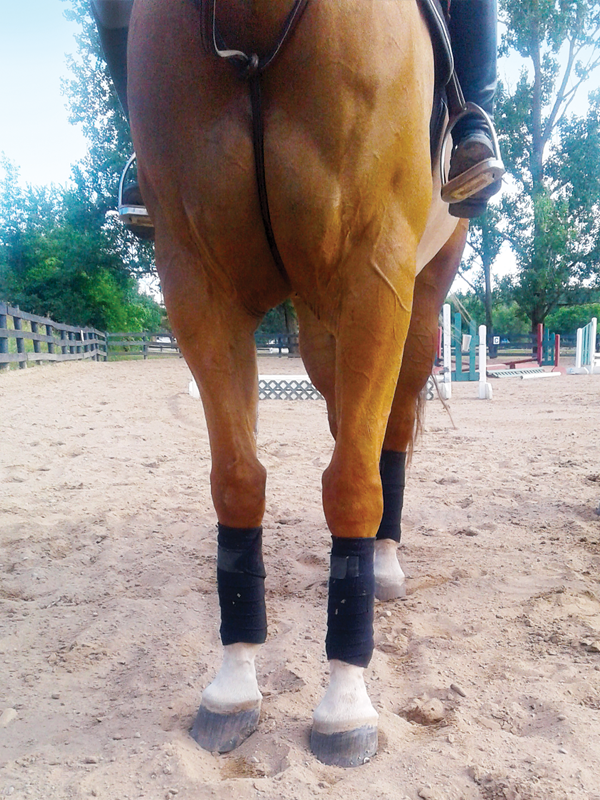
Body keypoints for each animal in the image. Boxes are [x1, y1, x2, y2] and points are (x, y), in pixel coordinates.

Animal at [127, 0, 469, 767]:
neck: (253, 29)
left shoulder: (376, 273)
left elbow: (353, 486)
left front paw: (344, 704)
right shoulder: (196, 282)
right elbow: (237, 481)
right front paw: (232, 688)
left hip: (420, 300)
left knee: (388, 436)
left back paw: (384, 566)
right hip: (319, 325)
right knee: (349, 423)